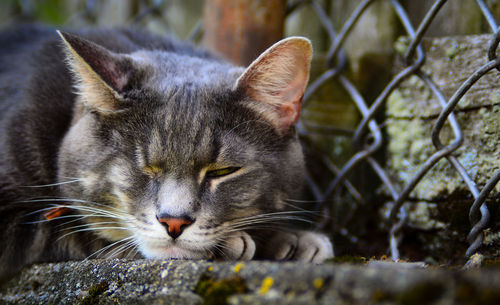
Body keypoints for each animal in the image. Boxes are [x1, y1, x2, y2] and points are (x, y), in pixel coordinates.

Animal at [0, 25, 332, 280]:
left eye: (223, 171)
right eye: (143, 167)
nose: (174, 222)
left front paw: (290, 240)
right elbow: (75, 231)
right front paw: (240, 244)